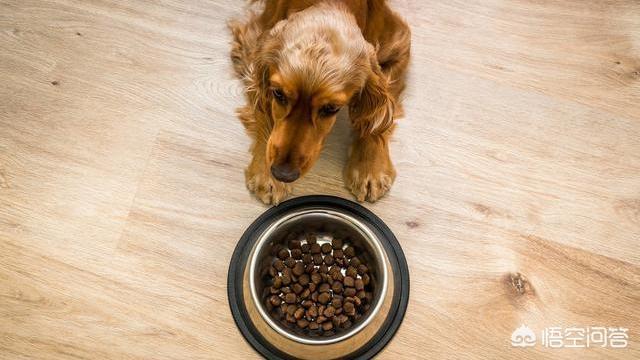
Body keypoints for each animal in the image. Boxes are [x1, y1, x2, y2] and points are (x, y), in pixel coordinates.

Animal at [230, 0, 410, 202]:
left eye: (331, 108)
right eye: (278, 94)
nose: (282, 174)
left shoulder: (398, 43)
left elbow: (377, 119)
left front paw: (369, 168)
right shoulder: (252, 43)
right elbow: (263, 109)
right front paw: (266, 174)